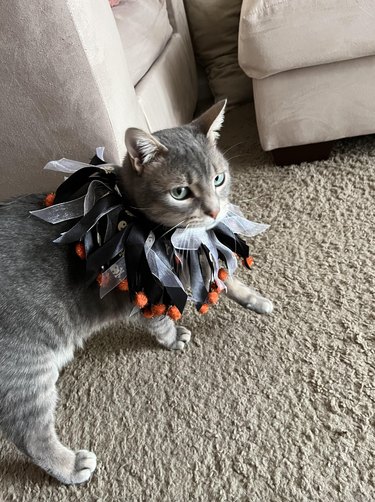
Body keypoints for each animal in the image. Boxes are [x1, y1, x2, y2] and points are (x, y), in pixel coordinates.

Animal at [0, 101, 272, 482]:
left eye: (218, 179)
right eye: (180, 192)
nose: (216, 210)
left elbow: (223, 277)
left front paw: (254, 299)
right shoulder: (150, 287)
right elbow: (162, 320)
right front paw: (173, 336)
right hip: (25, 370)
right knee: (28, 434)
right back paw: (69, 465)